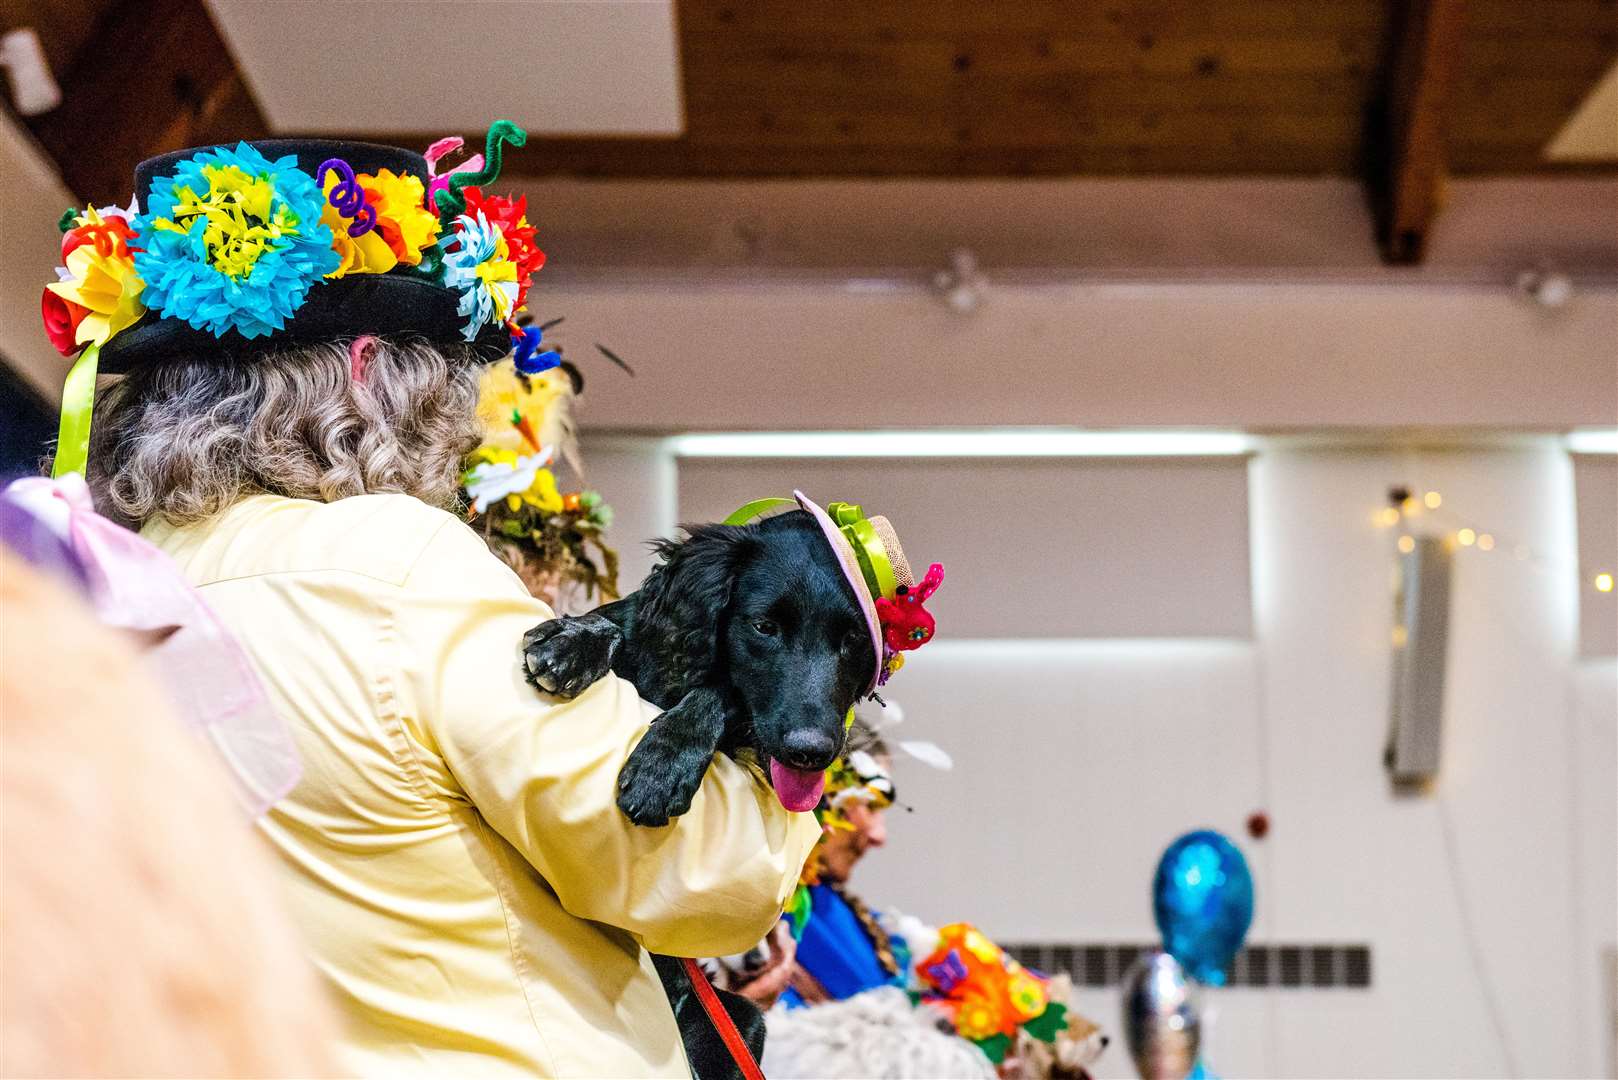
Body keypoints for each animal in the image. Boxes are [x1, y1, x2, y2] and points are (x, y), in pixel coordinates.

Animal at [520, 511, 873, 822]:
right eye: (764, 627)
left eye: (855, 637)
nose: (810, 753)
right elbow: (613, 624)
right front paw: (574, 641)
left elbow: (718, 693)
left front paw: (663, 767)